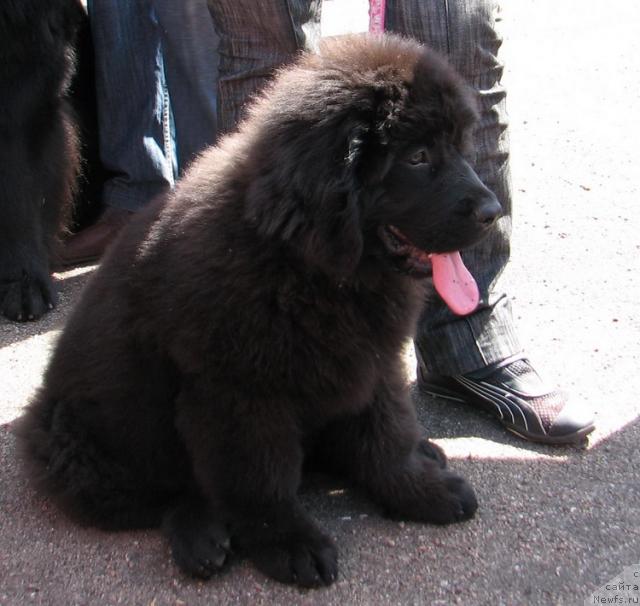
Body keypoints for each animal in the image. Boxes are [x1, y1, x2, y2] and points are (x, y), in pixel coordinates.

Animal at [17, 33, 502, 588]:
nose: (494, 212)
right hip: (86, 451)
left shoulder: (371, 364)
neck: (304, 259)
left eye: (461, 147)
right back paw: (202, 539)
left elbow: (387, 437)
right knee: (166, 497)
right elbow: (260, 478)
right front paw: (290, 544)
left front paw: (422, 491)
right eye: (418, 157)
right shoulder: (240, 393)